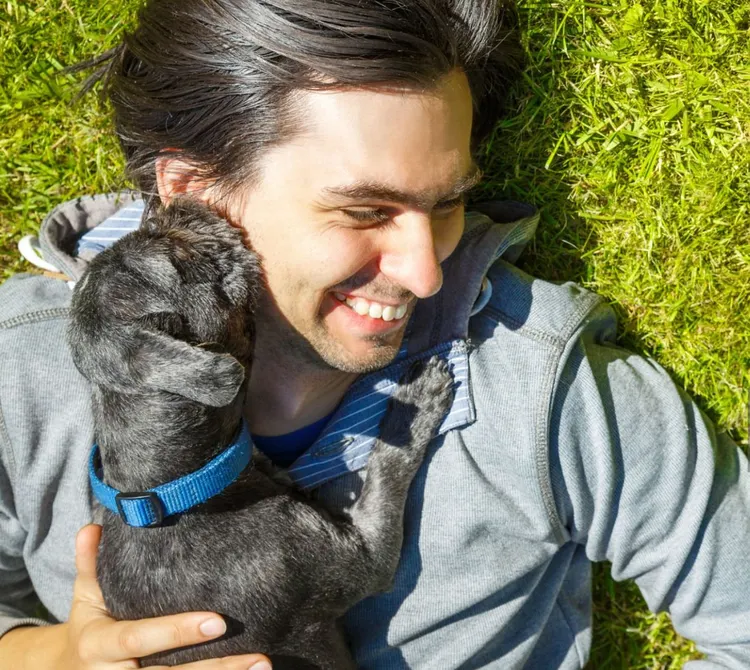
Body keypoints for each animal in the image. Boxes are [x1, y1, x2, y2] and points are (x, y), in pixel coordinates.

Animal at [67, 201, 452, 670]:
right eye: (177, 256)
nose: (168, 206)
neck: (172, 489)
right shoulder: (369, 556)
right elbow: (388, 470)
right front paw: (414, 405)